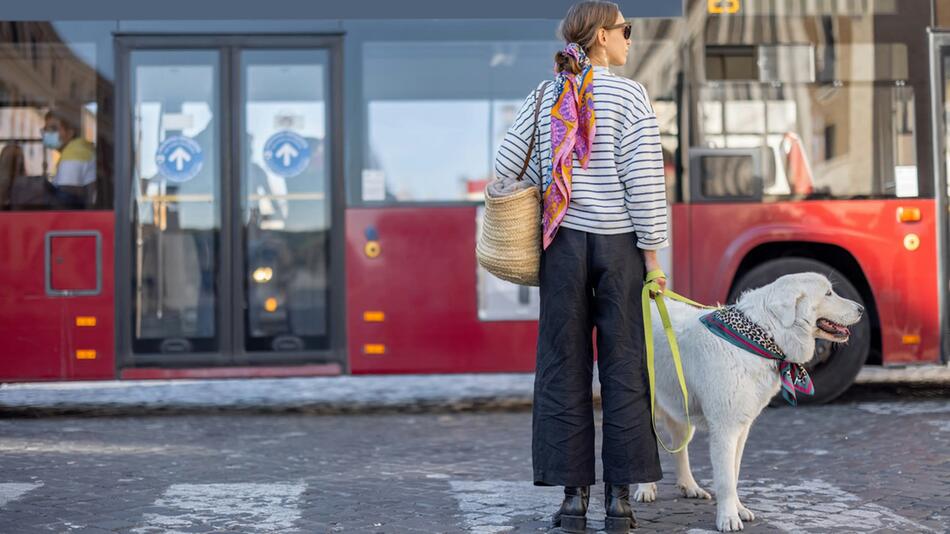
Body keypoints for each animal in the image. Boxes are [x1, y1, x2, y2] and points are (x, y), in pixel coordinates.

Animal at [636, 274, 868, 532]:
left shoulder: (741, 428)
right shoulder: (725, 430)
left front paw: (738, 509)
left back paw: (690, 486)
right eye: (828, 294)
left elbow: (734, 473)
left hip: (680, 408)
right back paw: (645, 489)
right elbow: (726, 480)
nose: (861, 309)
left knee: (680, 447)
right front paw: (728, 519)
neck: (762, 337)